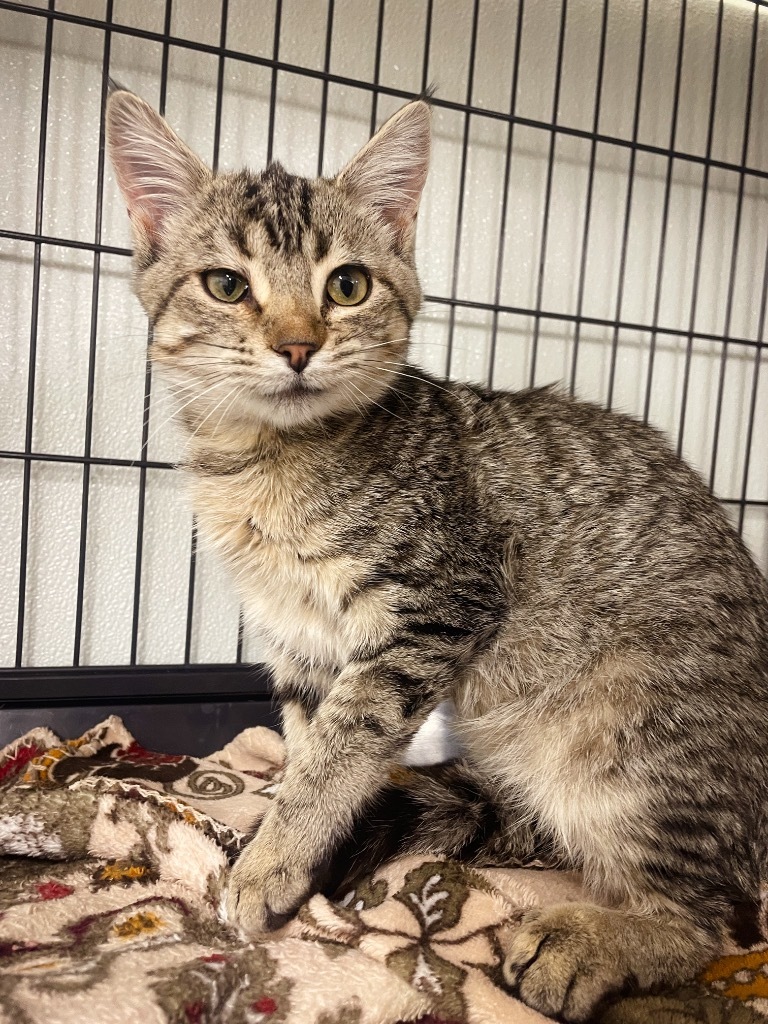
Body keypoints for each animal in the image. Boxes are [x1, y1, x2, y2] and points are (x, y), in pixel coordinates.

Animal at [105, 90, 768, 1024]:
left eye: (346, 285)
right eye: (226, 285)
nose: (299, 345)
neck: (267, 463)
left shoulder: (439, 606)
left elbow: (342, 746)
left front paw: (273, 860)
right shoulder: (300, 642)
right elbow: (312, 744)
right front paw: (302, 856)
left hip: (632, 741)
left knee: (708, 920)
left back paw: (589, 942)